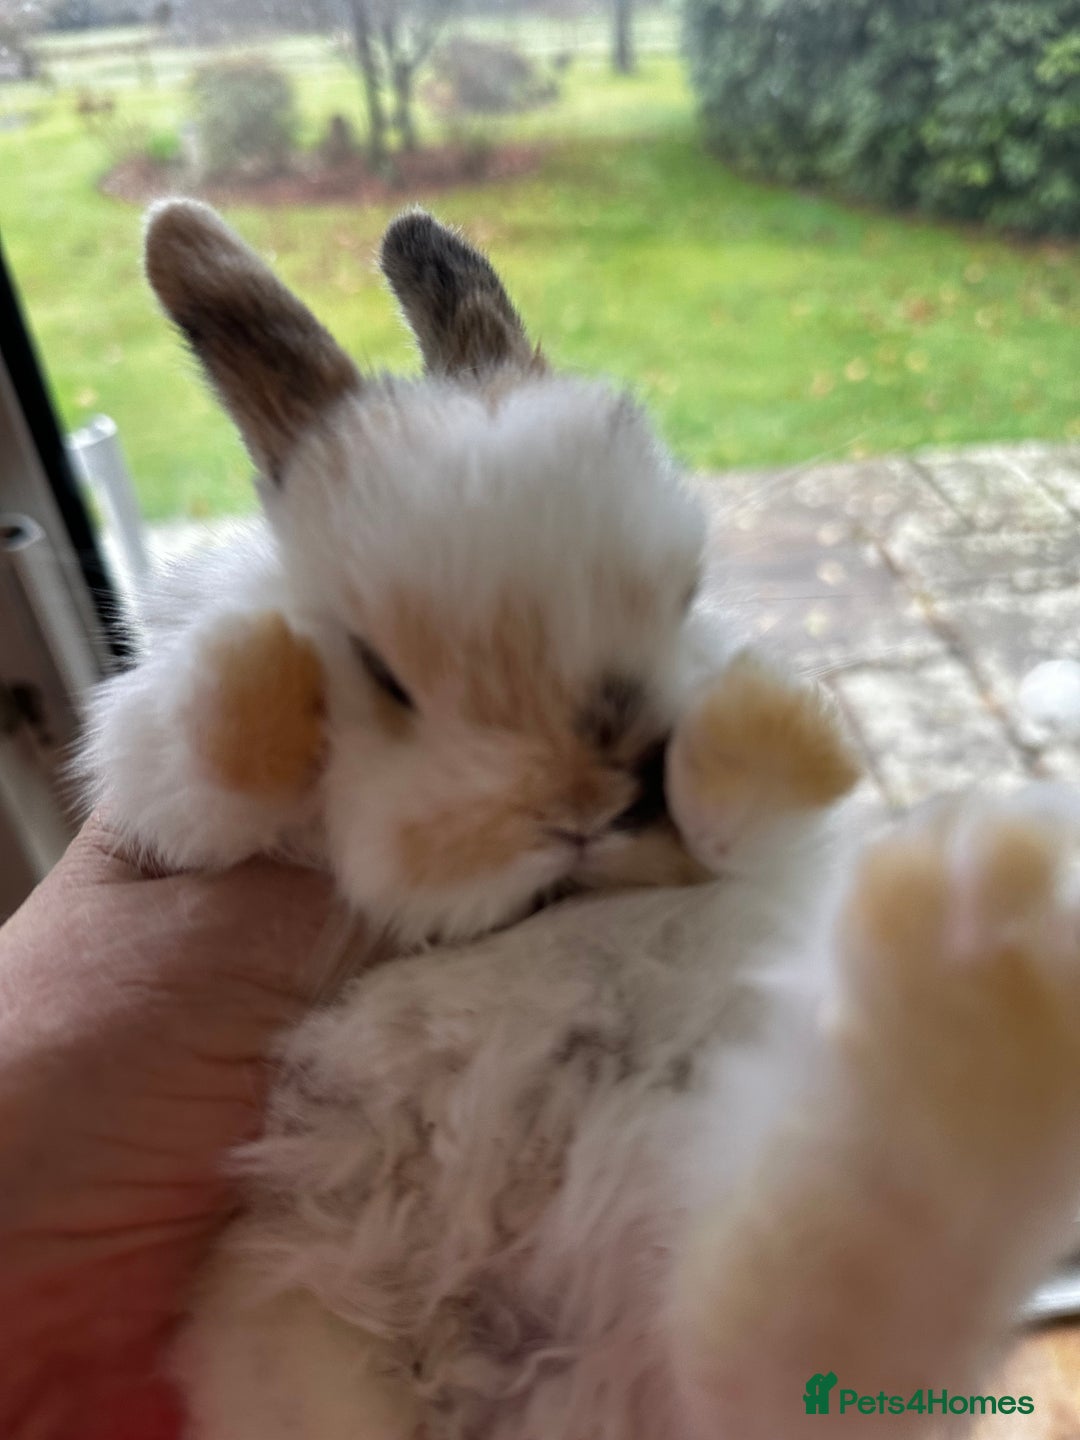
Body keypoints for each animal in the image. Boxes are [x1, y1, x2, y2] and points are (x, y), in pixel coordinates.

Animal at [79, 201, 1080, 1439]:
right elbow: (203, 765)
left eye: (686, 596)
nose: (597, 804)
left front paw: (773, 725)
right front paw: (269, 665)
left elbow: (758, 818)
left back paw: (987, 984)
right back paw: (984, 977)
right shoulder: (156, 795)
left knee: (785, 1344)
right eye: (382, 672)